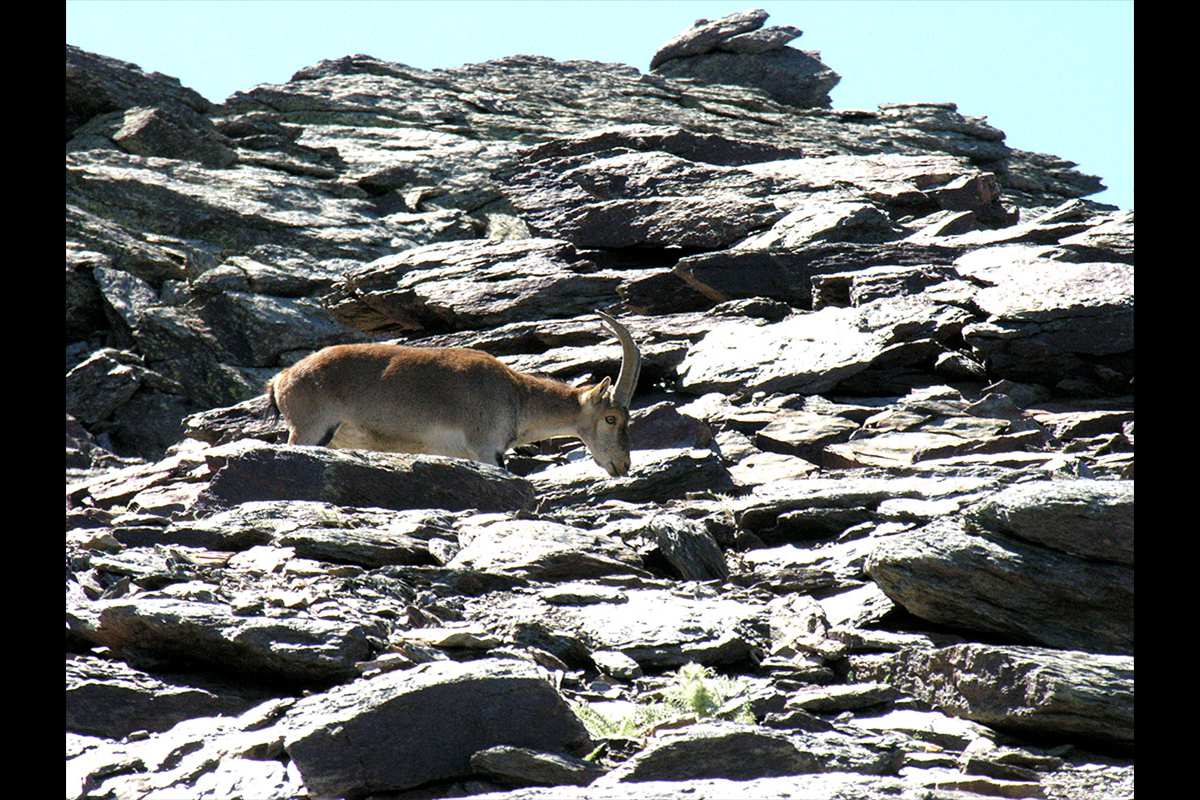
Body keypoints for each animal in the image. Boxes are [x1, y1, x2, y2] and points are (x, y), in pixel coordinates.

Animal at [266, 311, 643, 477]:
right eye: (611, 418)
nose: (622, 465)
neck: (516, 397)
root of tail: (281, 379)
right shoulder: (487, 450)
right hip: (310, 431)